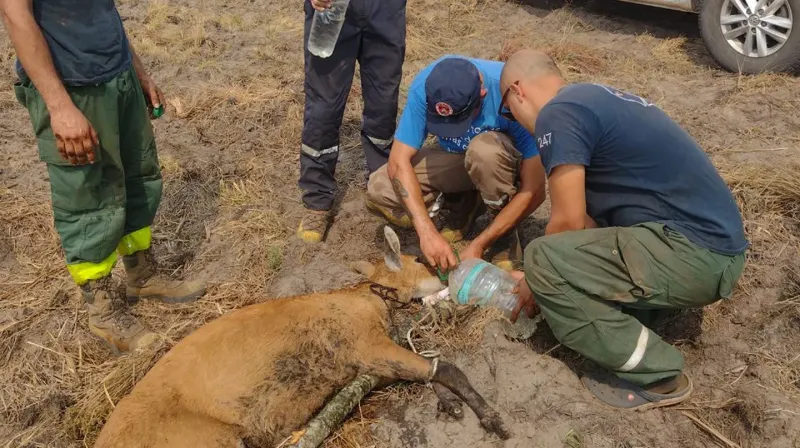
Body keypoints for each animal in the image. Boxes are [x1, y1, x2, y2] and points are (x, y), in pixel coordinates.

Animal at [94, 229, 506, 446]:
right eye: (420, 260)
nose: (446, 271)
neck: (366, 297)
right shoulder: (364, 344)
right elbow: (445, 367)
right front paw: (491, 418)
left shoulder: (368, 361)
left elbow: (426, 368)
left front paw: (452, 406)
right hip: (205, 439)